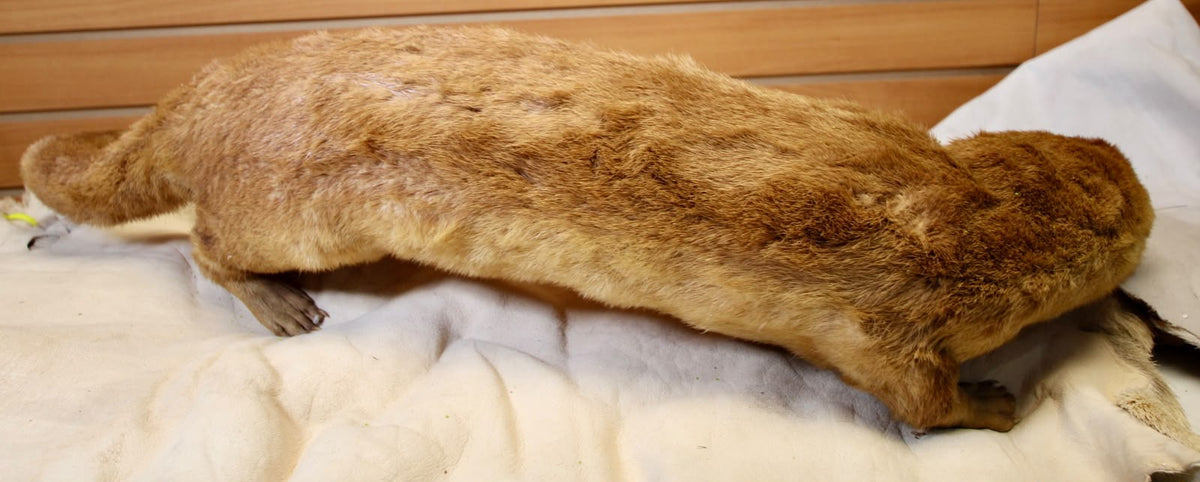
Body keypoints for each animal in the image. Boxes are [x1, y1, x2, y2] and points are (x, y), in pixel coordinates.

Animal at [20, 26, 1153, 431]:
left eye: (1111, 155)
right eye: (1134, 219)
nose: (1142, 180)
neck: (948, 204)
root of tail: (201, 89)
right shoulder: (893, 321)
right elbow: (920, 402)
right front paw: (1003, 401)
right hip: (287, 212)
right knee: (205, 244)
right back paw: (283, 309)